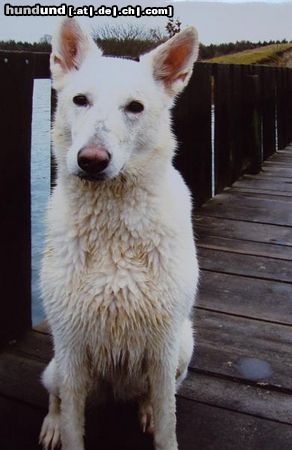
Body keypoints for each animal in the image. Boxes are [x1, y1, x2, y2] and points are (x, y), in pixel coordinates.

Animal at [40, 18, 200, 450]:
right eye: (80, 100)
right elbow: (73, 425)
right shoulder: (71, 346)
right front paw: (62, 428)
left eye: (135, 107)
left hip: (183, 347)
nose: (92, 161)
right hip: (57, 365)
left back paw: (143, 411)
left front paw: (158, 425)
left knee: (152, 396)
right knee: (55, 395)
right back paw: (51, 424)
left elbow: (167, 422)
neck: (113, 227)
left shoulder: (163, 349)